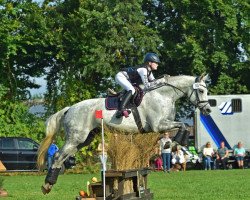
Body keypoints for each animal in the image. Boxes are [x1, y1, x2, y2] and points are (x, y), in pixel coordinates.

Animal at [38, 74, 212, 194]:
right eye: (201, 90)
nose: (208, 110)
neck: (164, 95)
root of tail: (69, 109)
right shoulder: (158, 125)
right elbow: (182, 125)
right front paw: (175, 142)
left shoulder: (163, 125)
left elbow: (181, 126)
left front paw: (173, 143)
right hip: (76, 137)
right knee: (58, 156)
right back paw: (47, 185)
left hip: (83, 140)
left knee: (63, 156)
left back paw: (49, 184)